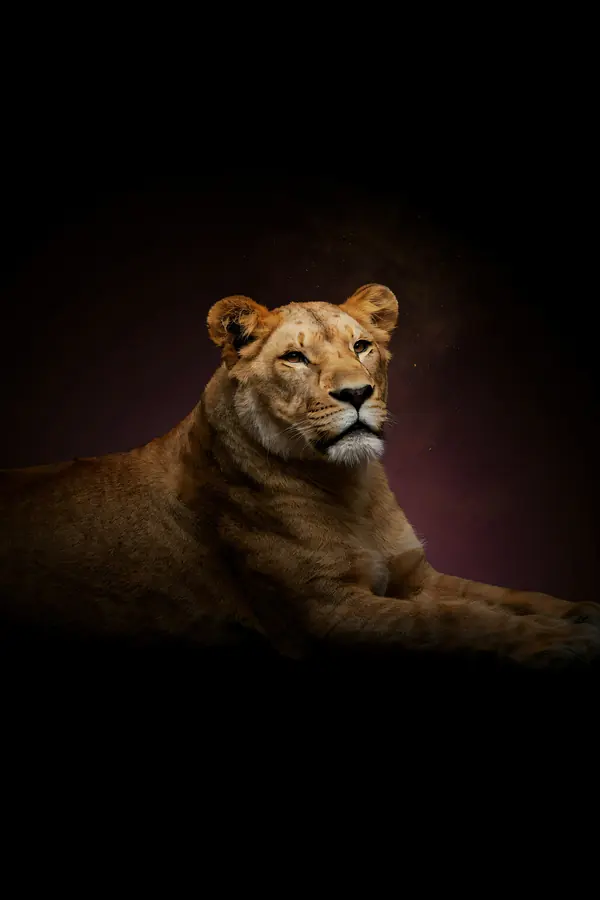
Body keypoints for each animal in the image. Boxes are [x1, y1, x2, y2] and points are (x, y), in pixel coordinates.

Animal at [0, 283, 598, 668]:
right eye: (294, 358)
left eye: (362, 345)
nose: (356, 393)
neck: (353, 487)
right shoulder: (326, 613)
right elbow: (454, 621)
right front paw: (555, 642)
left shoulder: (415, 576)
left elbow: (501, 595)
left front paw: (578, 614)